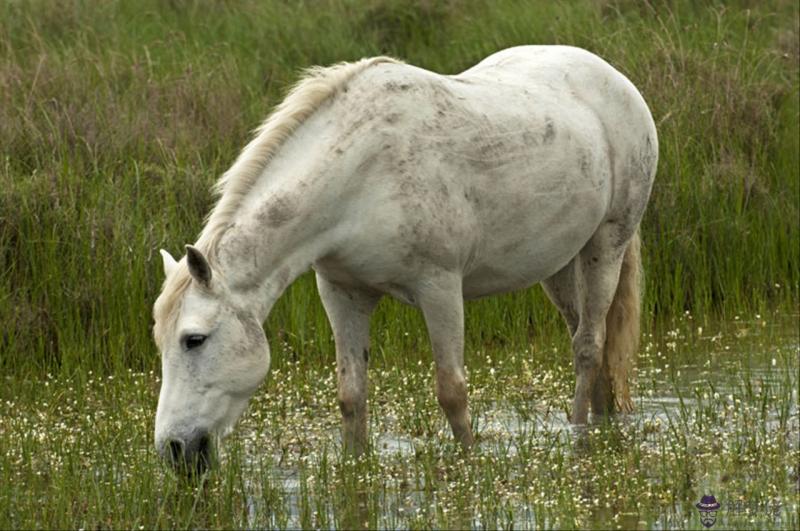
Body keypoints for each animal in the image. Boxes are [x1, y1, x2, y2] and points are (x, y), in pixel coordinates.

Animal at [152, 45, 656, 474]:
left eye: (193, 340)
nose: (173, 450)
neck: (360, 175)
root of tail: (617, 80)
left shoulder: (440, 288)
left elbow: (452, 391)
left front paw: (470, 467)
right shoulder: (342, 293)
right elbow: (351, 395)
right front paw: (356, 470)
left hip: (606, 244)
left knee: (588, 345)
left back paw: (580, 433)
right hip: (559, 264)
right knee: (591, 341)